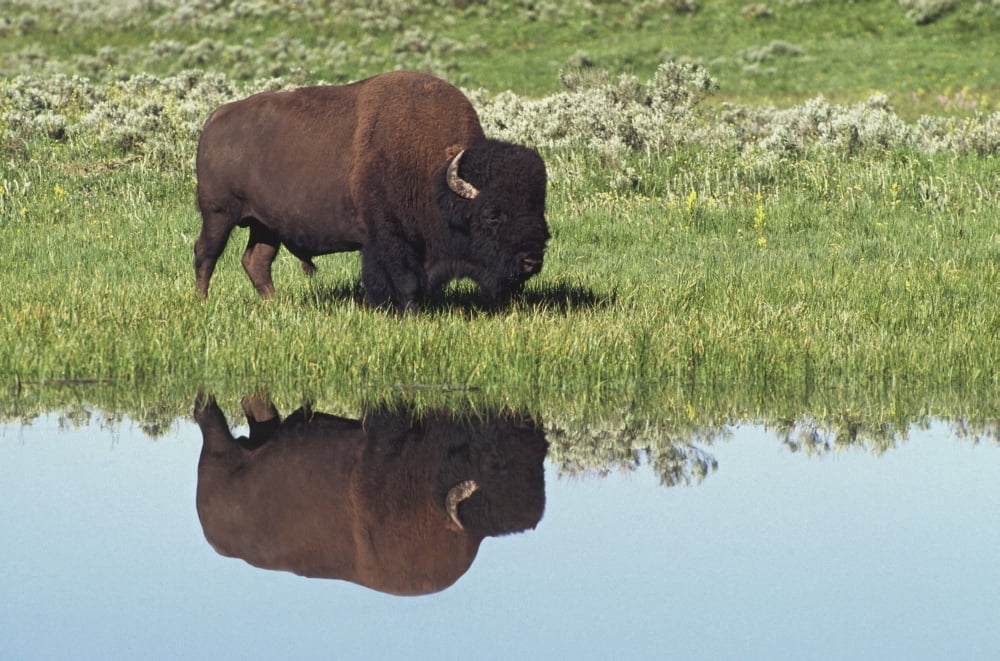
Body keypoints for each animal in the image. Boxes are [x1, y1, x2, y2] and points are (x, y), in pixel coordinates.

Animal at [194, 71, 550, 311]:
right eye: (492, 215)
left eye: (538, 207)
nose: (532, 260)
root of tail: (215, 119)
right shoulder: (388, 239)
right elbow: (403, 281)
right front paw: (409, 312)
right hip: (219, 214)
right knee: (206, 253)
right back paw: (202, 302)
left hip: (265, 226)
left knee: (256, 261)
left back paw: (276, 304)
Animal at [194, 394, 548, 596]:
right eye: (494, 461)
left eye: (540, 454)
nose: (528, 421)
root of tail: (211, 533)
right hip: (219, 448)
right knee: (206, 416)